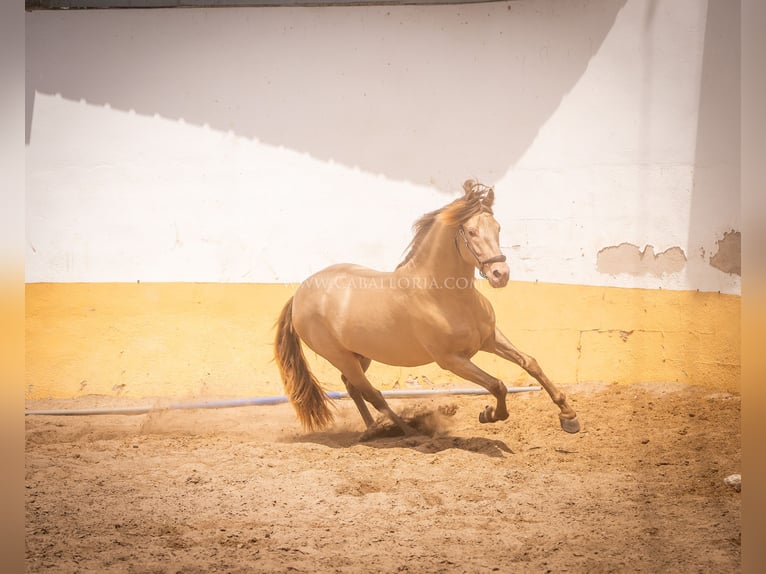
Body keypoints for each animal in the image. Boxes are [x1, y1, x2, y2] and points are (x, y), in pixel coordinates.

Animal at [272, 182, 580, 438]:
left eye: (498, 228)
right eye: (471, 232)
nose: (499, 274)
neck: (446, 295)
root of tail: (299, 293)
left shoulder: (489, 339)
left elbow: (531, 363)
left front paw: (569, 416)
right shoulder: (452, 359)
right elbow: (497, 385)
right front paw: (489, 414)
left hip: (360, 354)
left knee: (352, 386)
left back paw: (373, 428)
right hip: (340, 356)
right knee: (373, 393)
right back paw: (406, 431)